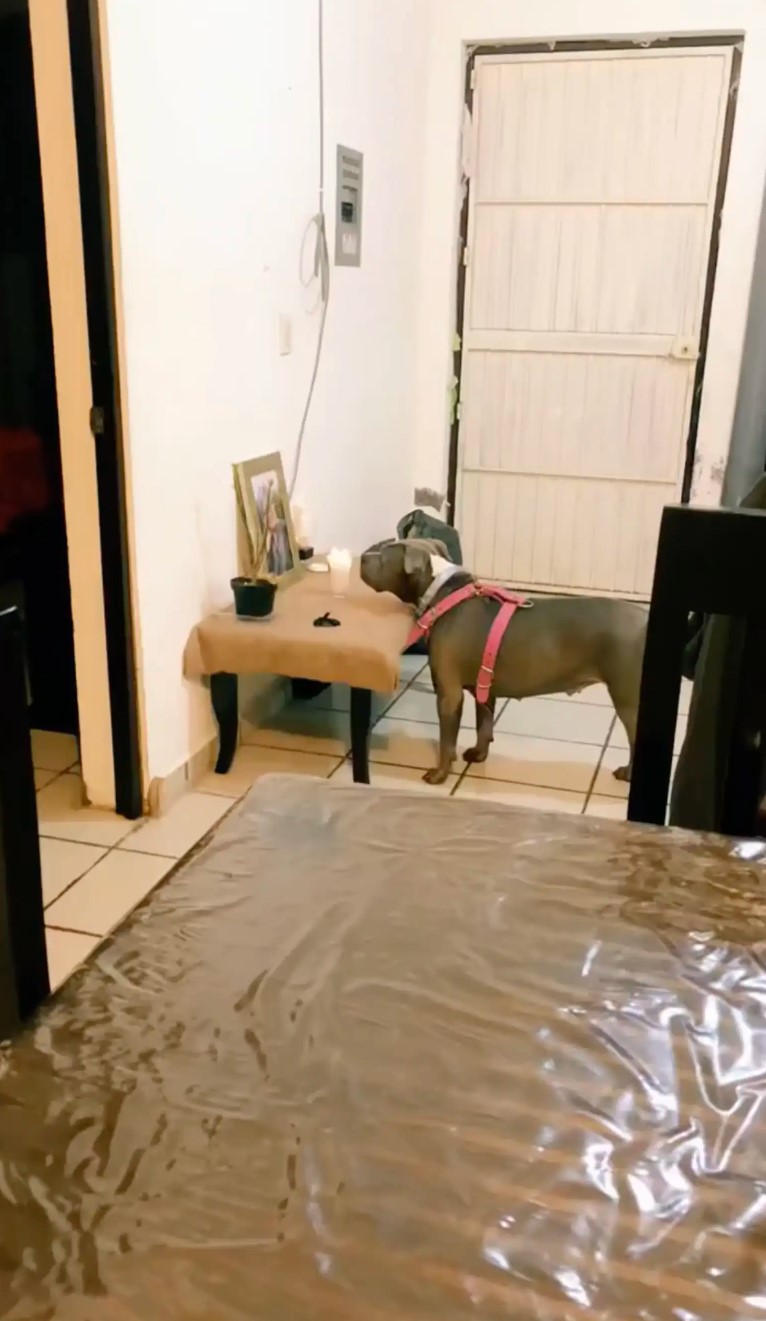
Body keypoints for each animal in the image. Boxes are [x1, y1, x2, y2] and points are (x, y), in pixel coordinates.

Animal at [359, 538, 647, 782]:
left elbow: (446, 741)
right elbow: (483, 724)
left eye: (383, 555)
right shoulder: (485, 687)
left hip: (628, 700)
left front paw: (440, 774)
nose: (361, 557)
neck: (443, 591)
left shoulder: (449, 694)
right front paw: (478, 754)